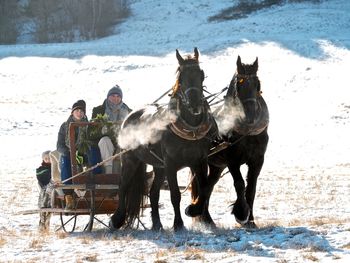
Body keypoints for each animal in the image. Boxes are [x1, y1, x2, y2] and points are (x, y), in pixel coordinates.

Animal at [110, 48, 217, 232]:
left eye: (201, 74)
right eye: (180, 76)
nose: (195, 104)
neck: (190, 130)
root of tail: (129, 116)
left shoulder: (200, 161)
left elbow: (204, 189)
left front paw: (198, 214)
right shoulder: (171, 164)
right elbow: (175, 194)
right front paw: (178, 224)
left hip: (159, 167)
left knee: (153, 193)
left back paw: (157, 224)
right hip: (130, 159)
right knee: (123, 186)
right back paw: (116, 220)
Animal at [191, 55, 268, 229]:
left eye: (257, 83)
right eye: (239, 84)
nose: (250, 116)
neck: (248, 133)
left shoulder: (257, 160)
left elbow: (251, 187)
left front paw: (251, 220)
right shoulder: (233, 160)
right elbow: (239, 184)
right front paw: (241, 214)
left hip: (217, 165)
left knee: (209, 185)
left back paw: (206, 219)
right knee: (202, 185)